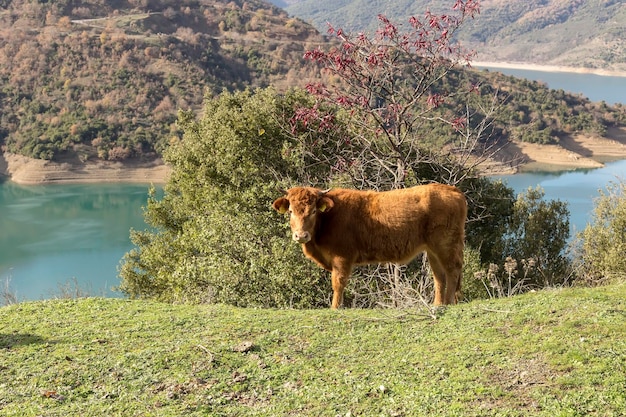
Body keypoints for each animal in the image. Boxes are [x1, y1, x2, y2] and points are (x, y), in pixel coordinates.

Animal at [270, 184, 466, 308]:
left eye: (313, 211)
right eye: (290, 211)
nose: (301, 235)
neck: (328, 218)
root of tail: (452, 190)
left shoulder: (342, 258)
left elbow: (338, 283)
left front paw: (335, 307)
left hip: (446, 245)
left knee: (452, 270)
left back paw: (449, 302)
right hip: (432, 250)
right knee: (439, 276)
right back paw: (438, 304)